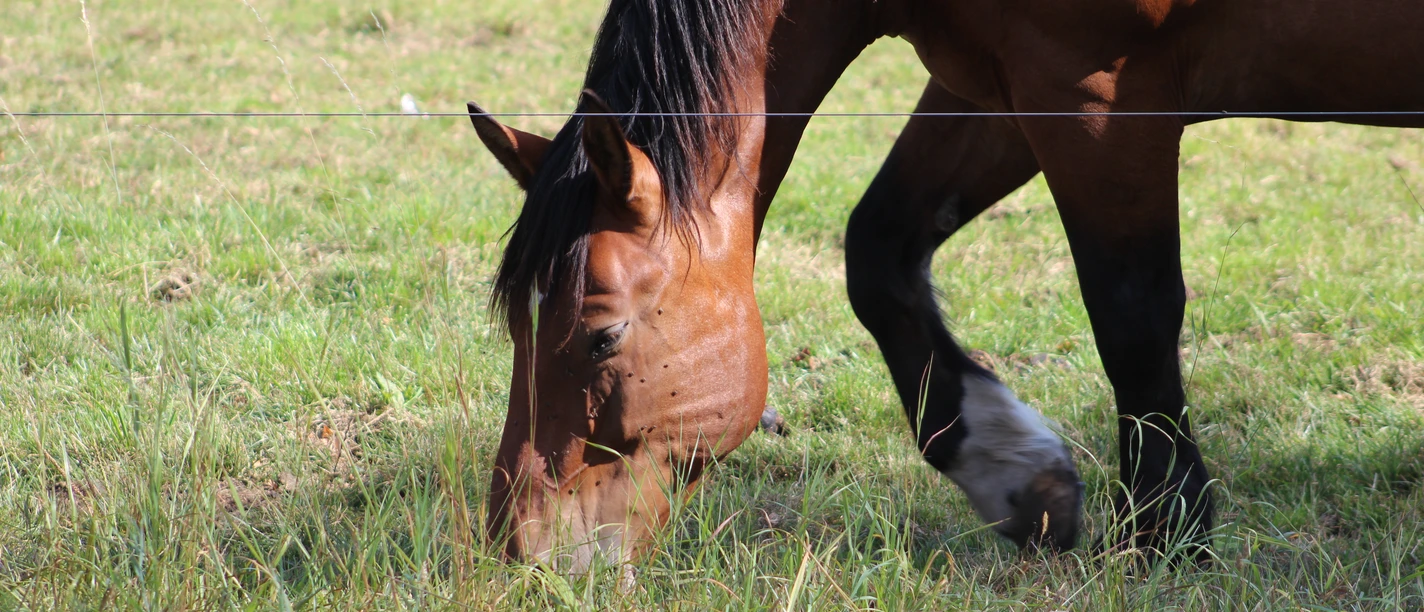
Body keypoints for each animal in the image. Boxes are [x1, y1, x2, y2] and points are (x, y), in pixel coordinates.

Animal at [467, 0, 1424, 569]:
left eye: (601, 336)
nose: (520, 556)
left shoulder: (1098, 101)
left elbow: (1133, 315)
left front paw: (1166, 535)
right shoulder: (997, 86)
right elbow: (879, 253)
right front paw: (1020, 475)